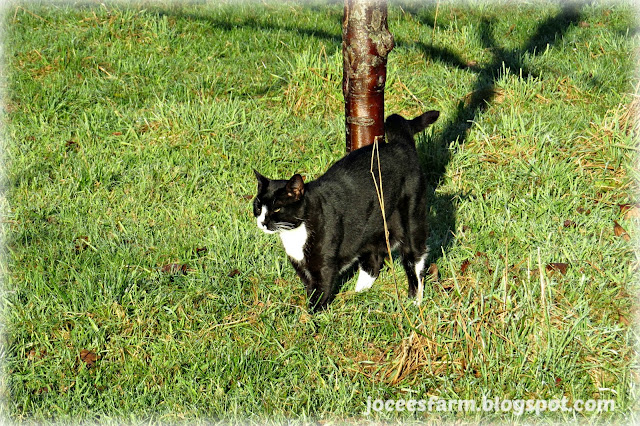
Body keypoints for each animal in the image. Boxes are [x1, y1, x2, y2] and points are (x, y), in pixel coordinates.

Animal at [252, 110, 438, 312]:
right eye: (258, 206)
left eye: (277, 208)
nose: (262, 222)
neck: (295, 233)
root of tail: (399, 144)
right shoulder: (301, 265)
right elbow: (309, 286)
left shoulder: (323, 266)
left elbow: (320, 291)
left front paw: (311, 316)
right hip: (372, 227)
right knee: (373, 260)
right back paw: (359, 294)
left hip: (411, 216)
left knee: (415, 259)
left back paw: (415, 300)